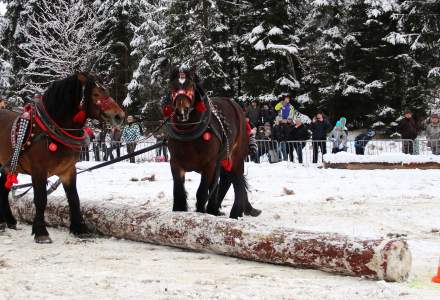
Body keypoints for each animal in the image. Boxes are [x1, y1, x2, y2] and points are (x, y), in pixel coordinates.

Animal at [0, 72, 124, 244]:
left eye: (106, 91)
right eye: (96, 94)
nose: (119, 116)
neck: (51, 131)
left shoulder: (68, 170)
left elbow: (74, 198)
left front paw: (79, 229)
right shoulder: (38, 171)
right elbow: (40, 199)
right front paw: (41, 232)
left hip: (10, 166)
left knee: (3, 189)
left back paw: (8, 221)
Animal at [164, 71, 262, 220]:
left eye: (191, 86)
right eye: (172, 87)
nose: (182, 111)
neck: (188, 133)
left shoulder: (209, 165)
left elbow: (202, 193)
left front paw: (201, 213)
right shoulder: (175, 163)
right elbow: (179, 192)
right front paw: (179, 210)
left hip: (236, 157)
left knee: (237, 181)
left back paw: (235, 213)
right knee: (226, 181)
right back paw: (216, 208)